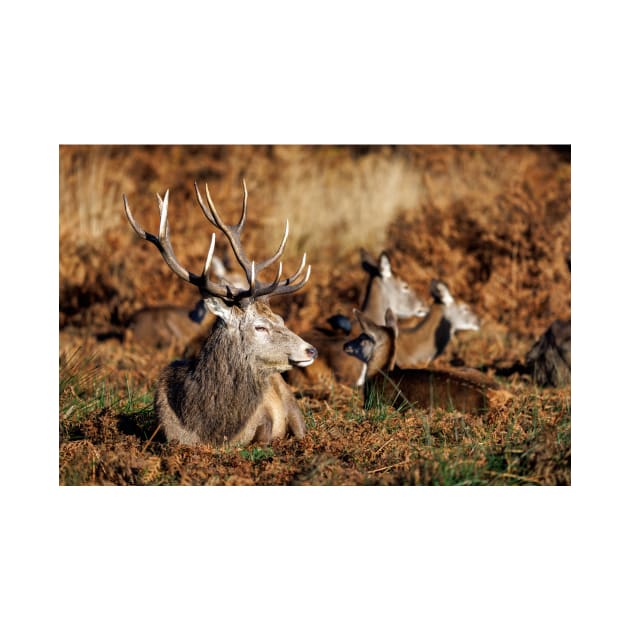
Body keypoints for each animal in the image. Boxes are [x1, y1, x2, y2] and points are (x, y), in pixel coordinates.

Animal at [123, 181, 318, 450]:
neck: (211, 428)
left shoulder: (265, 418)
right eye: (260, 327)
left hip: (291, 401)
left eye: (281, 319)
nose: (311, 350)